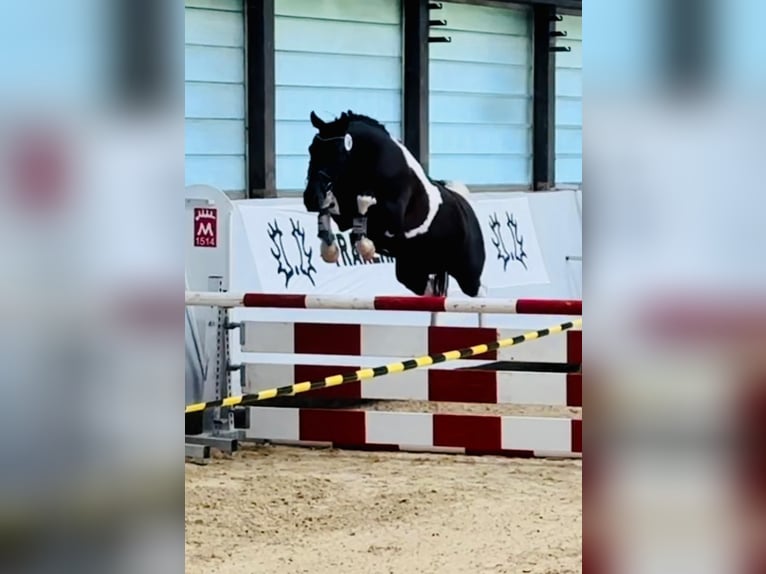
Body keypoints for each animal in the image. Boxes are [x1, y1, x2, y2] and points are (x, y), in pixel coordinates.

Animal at [302, 110, 486, 297]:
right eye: (311, 149)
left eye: (337, 151)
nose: (310, 198)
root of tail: (466, 207)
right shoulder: (345, 215)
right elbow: (332, 210)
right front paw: (330, 249)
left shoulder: (391, 220)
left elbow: (362, 217)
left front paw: (366, 246)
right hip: (412, 273)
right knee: (428, 289)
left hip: (467, 274)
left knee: (478, 290)